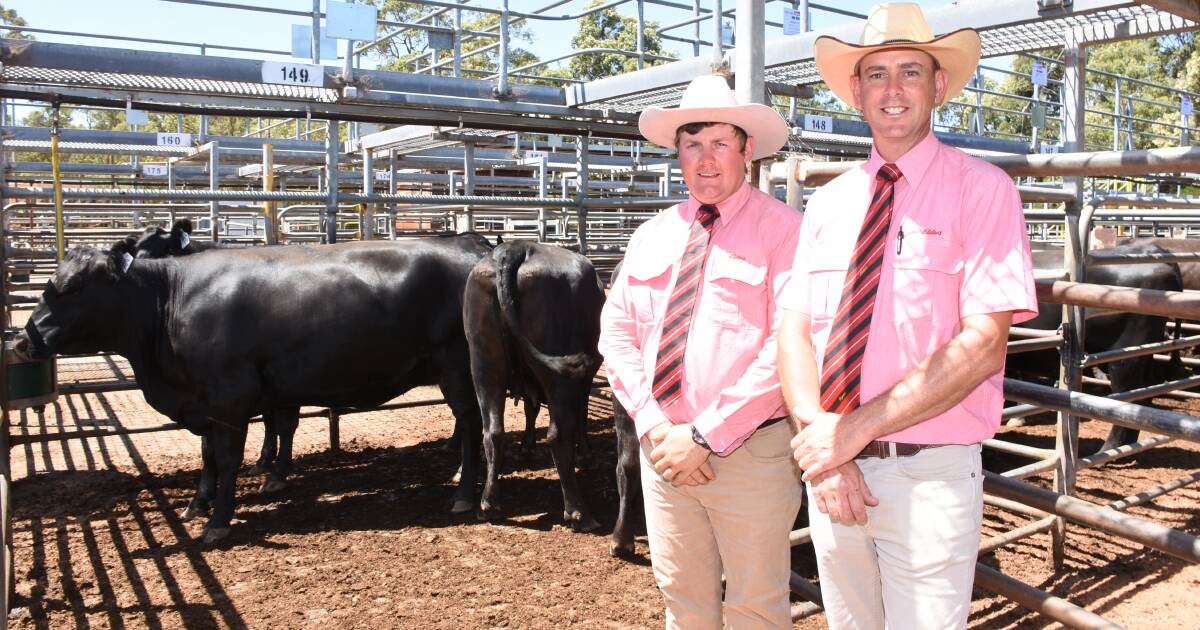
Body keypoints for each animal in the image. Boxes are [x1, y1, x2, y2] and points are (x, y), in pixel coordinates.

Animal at [15, 234, 492, 540]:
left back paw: (465, 492)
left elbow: (229, 458)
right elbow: (209, 455)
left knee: (473, 425)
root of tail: (472, 249)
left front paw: (218, 522)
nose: (23, 341)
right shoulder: (207, 401)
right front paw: (198, 503)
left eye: (72, 286)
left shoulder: (230, 397)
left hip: (457, 369)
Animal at [463, 238, 604, 528]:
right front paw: (586, 455)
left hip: (484, 360)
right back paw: (579, 513)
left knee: (492, 430)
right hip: (561, 371)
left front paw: (526, 448)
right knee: (558, 434)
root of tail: (517, 247)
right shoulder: (586, 377)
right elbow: (582, 414)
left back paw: (489, 504)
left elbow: (531, 408)